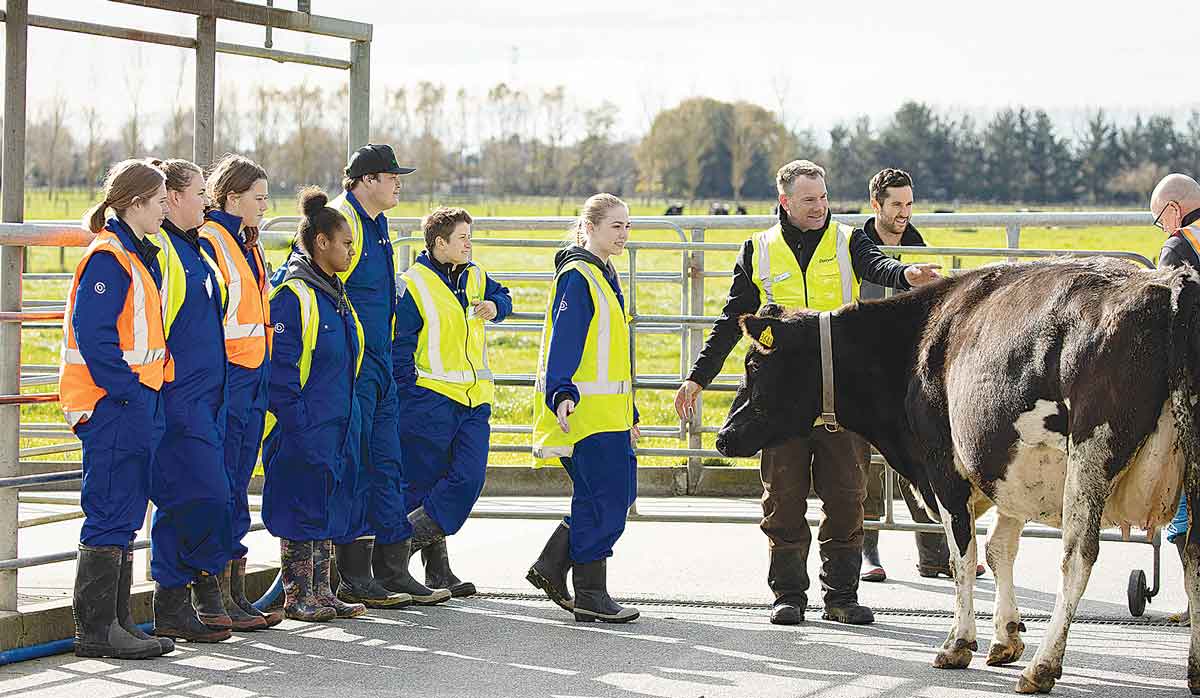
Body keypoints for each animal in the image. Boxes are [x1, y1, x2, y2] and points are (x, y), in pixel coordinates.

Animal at [710, 260, 1200, 695]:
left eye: (755, 365)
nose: (723, 436)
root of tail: (1171, 284)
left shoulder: (943, 467)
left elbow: (961, 557)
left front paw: (959, 643)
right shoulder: (1006, 468)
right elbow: (1000, 550)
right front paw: (1006, 638)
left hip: (1091, 451)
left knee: (1077, 556)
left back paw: (1043, 667)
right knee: (1191, 550)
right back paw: (1193, 669)